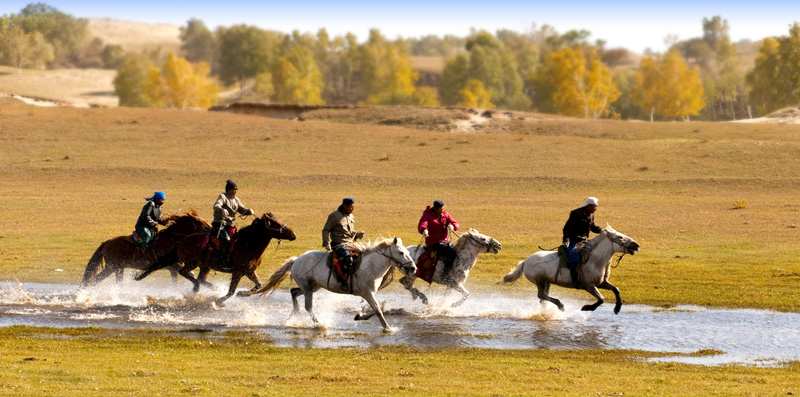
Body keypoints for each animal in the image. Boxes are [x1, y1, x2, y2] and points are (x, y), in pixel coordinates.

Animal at [80, 209, 211, 286]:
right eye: (200, 222)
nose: (211, 228)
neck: (171, 239)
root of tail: (106, 243)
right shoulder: (173, 267)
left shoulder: (174, 268)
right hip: (114, 268)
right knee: (99, 279)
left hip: (115, 268)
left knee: (97, 279)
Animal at [134, 213, 296, 304]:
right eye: (276, 224)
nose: (293, 234)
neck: (248, 244)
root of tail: (182, 240)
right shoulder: (238, 272)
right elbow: (231, 291)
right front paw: (219, 300)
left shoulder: (249, 271)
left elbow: (258, 285)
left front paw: (242, 294)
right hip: (193, 263)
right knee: (185, 273)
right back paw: (200, 288)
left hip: (205, 266)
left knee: (200, 278)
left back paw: (207, 288)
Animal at [244, 237, 418, 330]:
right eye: (401, 252)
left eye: (408, 252)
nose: (413, 268)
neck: (371, 265)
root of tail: (296, 260)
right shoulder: (367, 293)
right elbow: (378, 310)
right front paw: (388, 328)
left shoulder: (368, 294)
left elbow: (375, 309)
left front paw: (360, 316)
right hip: (308, 287)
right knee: (308, 306)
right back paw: (318, 323)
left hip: (313, 286)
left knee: (294, 292)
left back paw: (294, 314)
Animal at [504, 227, 640, 314]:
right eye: (620, 237)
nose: (636, 245)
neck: (594, 260)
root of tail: (525, 262)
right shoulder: (589, 286)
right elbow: (601, 299)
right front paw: (586, 308)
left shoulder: (602, 283)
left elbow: (616, 290)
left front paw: (617, 309)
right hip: (540, 281)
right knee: (541, 295)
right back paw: (560, 305)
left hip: (547, 282)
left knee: (543, 298)